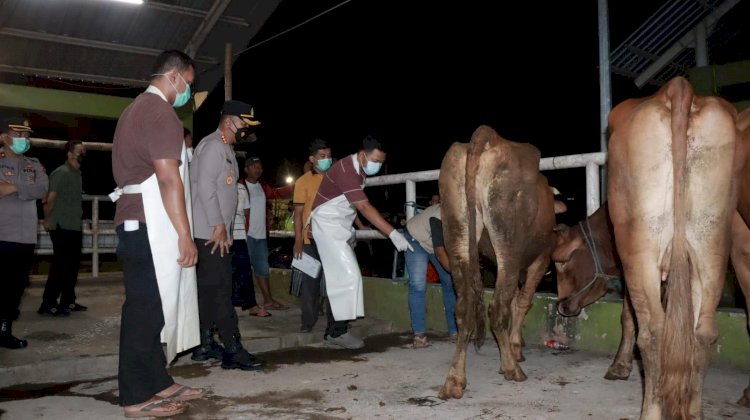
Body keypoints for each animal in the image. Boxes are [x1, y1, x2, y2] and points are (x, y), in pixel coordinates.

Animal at [438, 124, 568, 400]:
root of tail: (489, 138)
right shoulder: (541, 258)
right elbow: (523, 300)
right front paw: (516, 347)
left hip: (457, 229)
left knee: (464, 308)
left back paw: (455, 380)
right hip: (508, 240)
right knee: (498, 308)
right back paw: (511, 368)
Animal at [608, 77, 744, 418]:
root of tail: (677, 88)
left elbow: (628, 314)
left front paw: (619, 367)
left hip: (640, 244)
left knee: (654, 331)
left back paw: (652, 411)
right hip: (712, 239)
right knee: (704, 332)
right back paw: (693, 411)